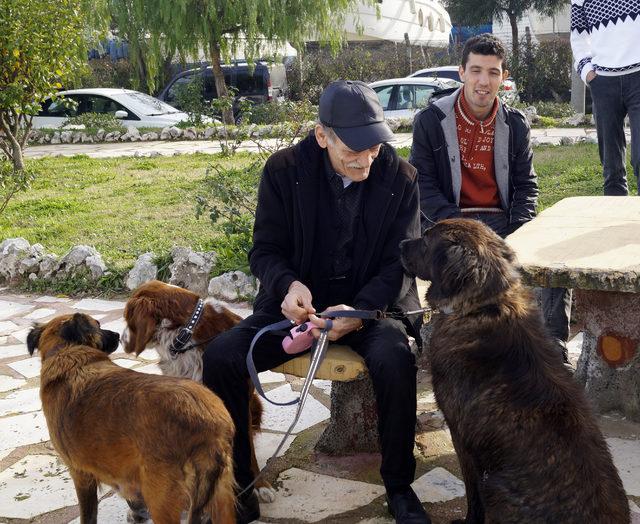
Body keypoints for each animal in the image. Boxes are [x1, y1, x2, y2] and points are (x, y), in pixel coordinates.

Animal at [28, 314, 238, 520]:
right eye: (98, 325)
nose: (116, 335)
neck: (65, 350)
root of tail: (212, 423)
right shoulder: (122, 471)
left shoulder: (81, 474)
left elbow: (89, 516)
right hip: (222, 501)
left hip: (161, 499)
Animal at [122, 280, 276, 502]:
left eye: (128, 317)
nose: (120, 339)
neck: (185, 335)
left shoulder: (239, 400)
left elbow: (248, 450)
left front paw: (260, 485)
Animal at [400, 218, 632, 524]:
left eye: (426, 239)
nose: (400, 244)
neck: (482, 306)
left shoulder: (461, 437)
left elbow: (472, 494)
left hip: (495, 488)